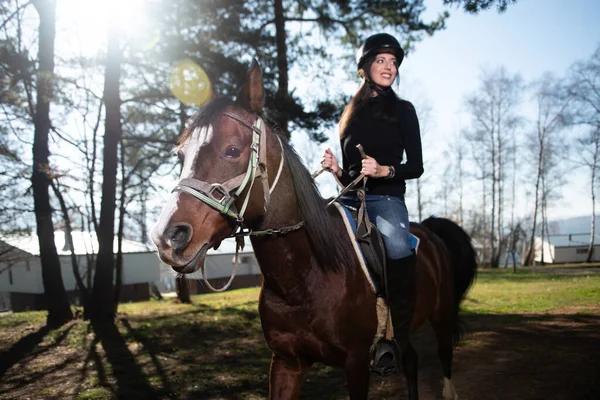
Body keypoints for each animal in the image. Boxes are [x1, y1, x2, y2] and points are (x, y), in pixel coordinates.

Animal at [152, 60, 476, 400]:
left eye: (231, 150)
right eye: (181, 155)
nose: (168, 238)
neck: (305, 276)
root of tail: (429, 230)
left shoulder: (357, 364)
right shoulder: (285, 363)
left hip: (441, 317)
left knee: (444, 356)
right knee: (411, 361)